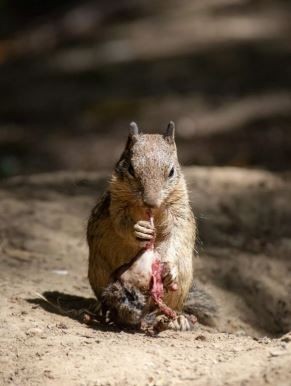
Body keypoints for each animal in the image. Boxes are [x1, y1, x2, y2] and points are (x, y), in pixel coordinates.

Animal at [88, 122, 198, 330]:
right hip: (98, 271)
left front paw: (169, 268)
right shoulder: (117, 202)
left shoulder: (178, 210)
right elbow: (120, 222)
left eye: (171, 171)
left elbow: (175, 235)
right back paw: (99, 309)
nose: (151, 202)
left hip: (182, 282)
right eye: (131, 168)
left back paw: (177, 319)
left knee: (167, 307)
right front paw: (138, 230)